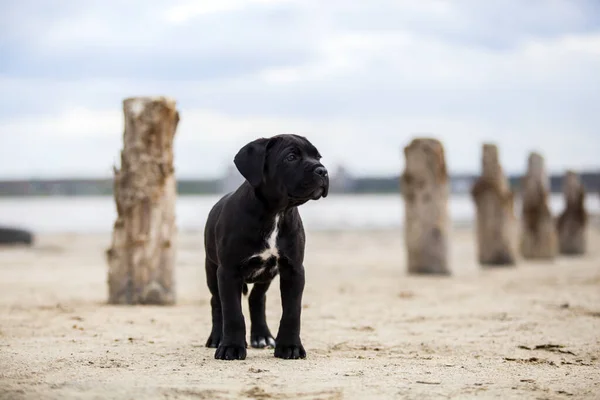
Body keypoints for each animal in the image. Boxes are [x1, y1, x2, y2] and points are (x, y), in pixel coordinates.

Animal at [205, 136, 328, 360]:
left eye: (318, 157)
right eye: (291, 157)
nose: (322, 170)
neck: (276, 212)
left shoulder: (293, 270)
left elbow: (292, 311)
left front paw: (290, 347)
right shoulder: (228, 272)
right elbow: (233, 312)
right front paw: (231, 347)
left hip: (266, 275)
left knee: (257, 299)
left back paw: (262, 337)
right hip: (211, 269)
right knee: (216, 302)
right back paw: (217, 338)